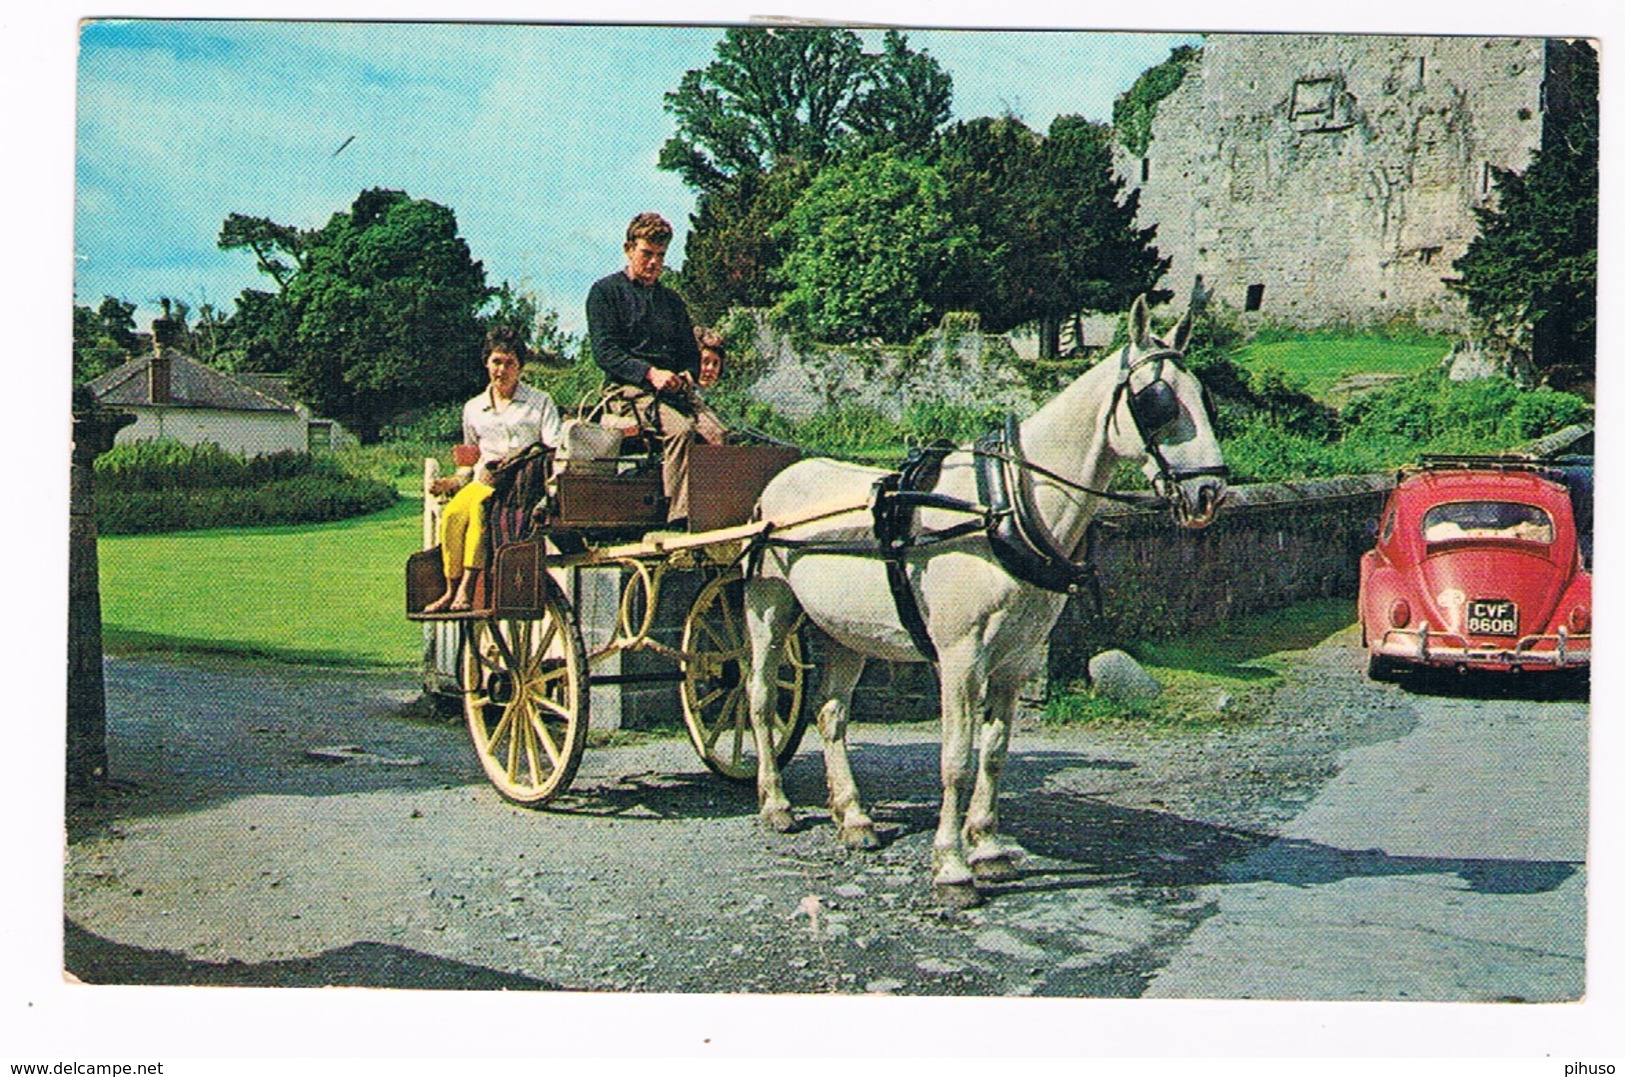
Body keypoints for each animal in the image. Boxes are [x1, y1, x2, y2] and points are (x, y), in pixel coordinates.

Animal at [744, 292, 1222, 903]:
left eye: (1204, 397)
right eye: (1156, 401)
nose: (1210, 492)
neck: (1003, 507)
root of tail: (783, 479)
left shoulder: (1015, 660)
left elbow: (994, 754)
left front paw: (988, 848)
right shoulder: (961, 659)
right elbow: (955, 760)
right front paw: (951, 866)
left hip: (847, 630)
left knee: (831, 714)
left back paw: (853, 817)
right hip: (769, 610)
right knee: (761, 700)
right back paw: (776, 803)